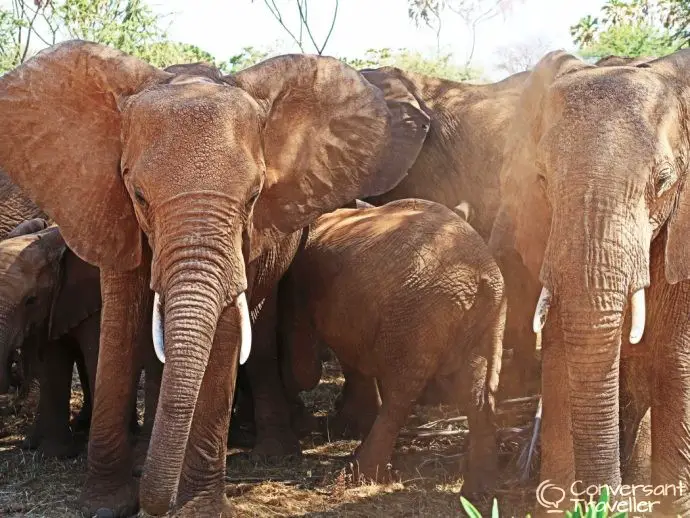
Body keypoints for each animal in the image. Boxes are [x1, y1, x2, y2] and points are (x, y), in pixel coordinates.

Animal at [0, 41, 404, 518]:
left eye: (254, 196)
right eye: (138, 195)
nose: (153, 504)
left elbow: (227, 333)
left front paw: (198, 508)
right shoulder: (109, 208)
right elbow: (119, 328)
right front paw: (106, 504)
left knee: (258, 343)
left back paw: (271, 452)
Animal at [280, 198, 506, 492]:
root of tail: (482, 277)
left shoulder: (298, 287)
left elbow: (306, 369)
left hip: (418, 310)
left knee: (400, 392)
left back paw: (360, 474)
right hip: (486, 317)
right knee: (476, 389)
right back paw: (480, 486)